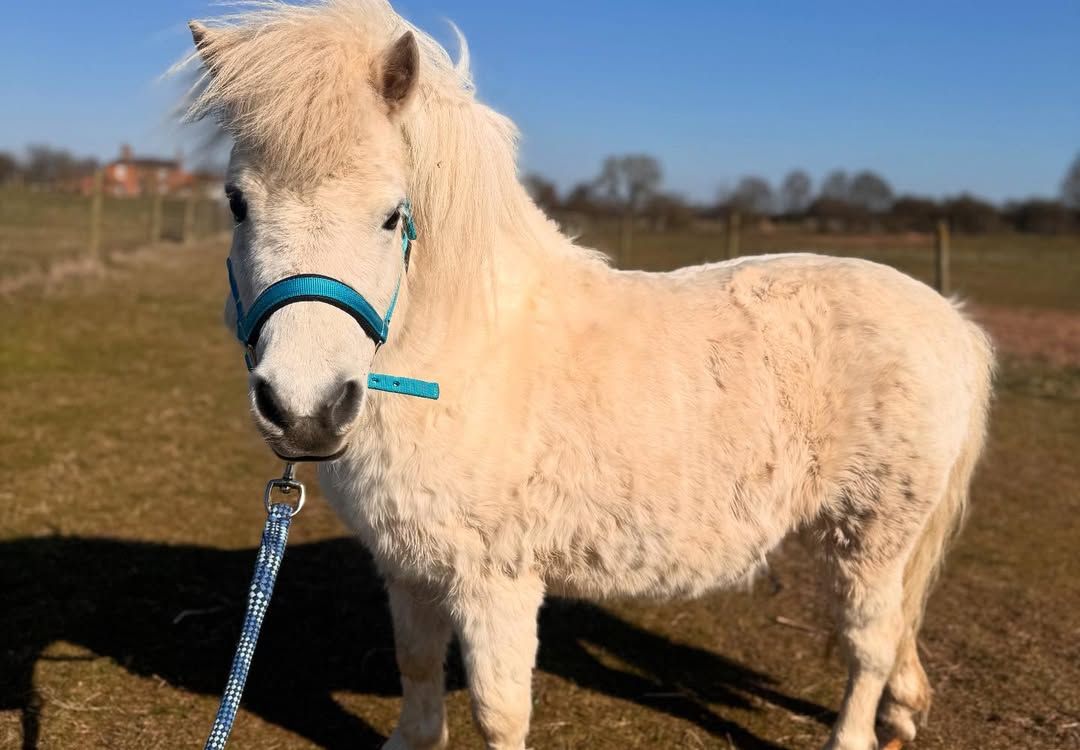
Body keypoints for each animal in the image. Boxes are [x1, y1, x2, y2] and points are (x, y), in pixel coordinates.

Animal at [182, 2, 994, 748]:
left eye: (391, 215)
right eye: (237, 203)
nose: (305, 410)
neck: (464, 358)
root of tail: (952, 320)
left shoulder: (495, 580)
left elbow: (499, 714)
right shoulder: (408, 567)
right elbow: (416, 670)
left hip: (871, 535)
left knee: (871, 647)